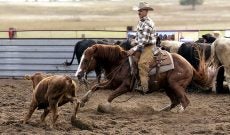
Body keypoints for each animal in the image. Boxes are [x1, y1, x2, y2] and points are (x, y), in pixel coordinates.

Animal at [75, 44, 210, 112]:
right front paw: (83, 101)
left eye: (86, 60)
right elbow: (95, 87)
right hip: (168, 87)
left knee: (184, 101)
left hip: (175, 85)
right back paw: (160, 111)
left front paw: (105, 107)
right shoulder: (113, 83)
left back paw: (179, 111)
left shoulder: (125, 86)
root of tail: (190, 65)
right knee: (174, 101)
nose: (78, 75)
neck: (119, 62)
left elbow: (110, 96)